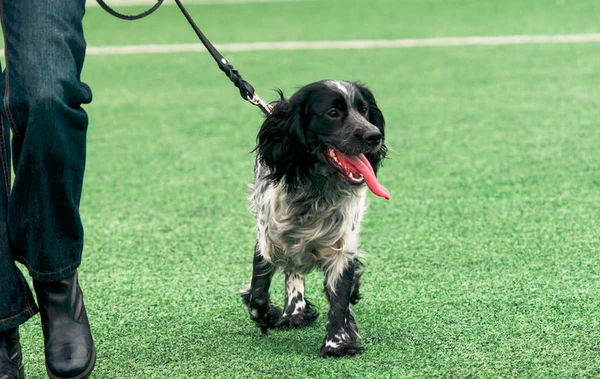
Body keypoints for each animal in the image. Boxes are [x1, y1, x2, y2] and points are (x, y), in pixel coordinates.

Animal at [241, 80, 392, 360]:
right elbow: (257, 294)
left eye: (364, 110)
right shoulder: (267, 237)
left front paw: (337, 343)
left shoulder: (343, 245)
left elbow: (339, 299)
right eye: (333, 113)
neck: (314, 189)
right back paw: (294, 311)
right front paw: (270, 315)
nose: (374, 136)